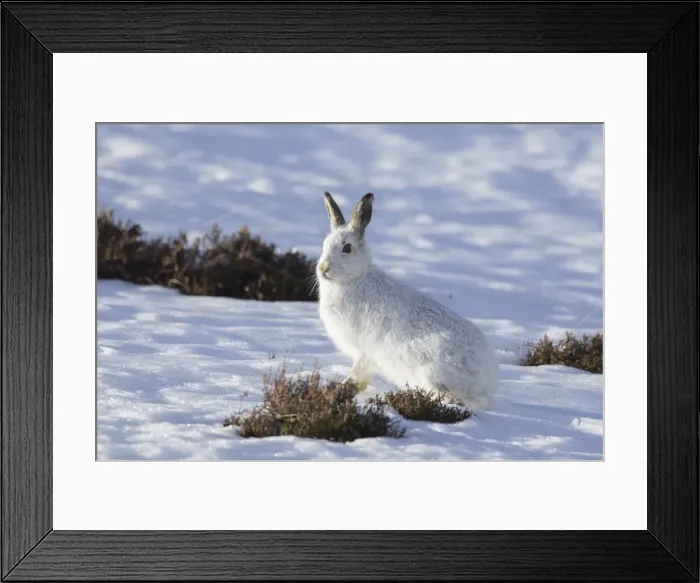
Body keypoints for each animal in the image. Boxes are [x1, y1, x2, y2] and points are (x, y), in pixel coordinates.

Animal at [315, 191, 500, 410]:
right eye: (324, 245)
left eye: (347, 248)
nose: (323, 268)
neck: (355, 279)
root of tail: (486, 383)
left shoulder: (366, 351)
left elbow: (357, 375)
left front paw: (340, 388)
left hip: (430, 372)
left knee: (450, 398)